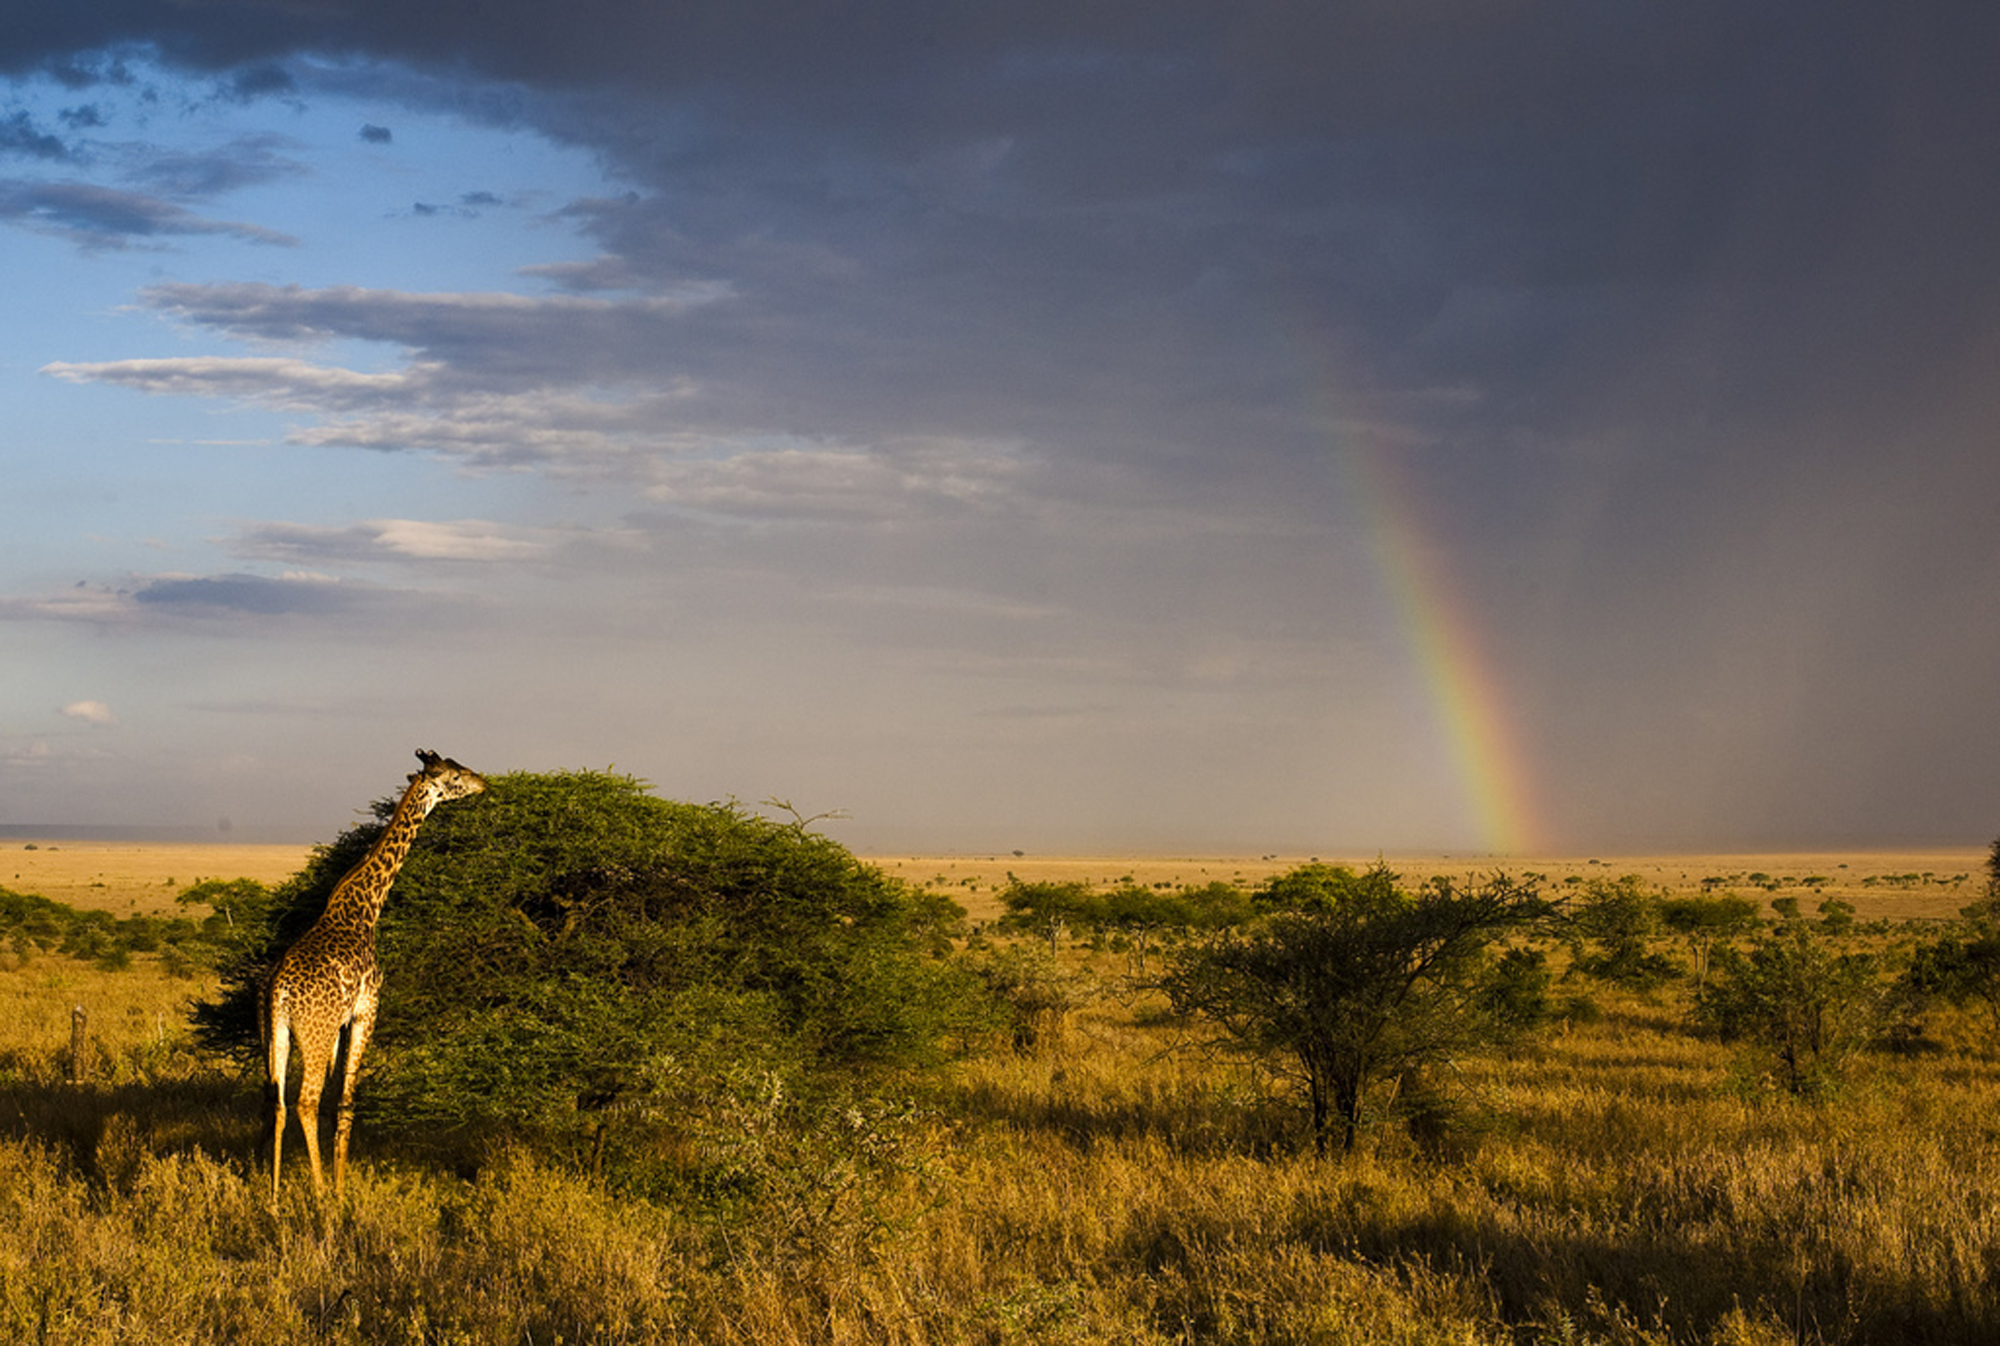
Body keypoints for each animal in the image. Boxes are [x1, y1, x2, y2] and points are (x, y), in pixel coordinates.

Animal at [262, 752, 488, 1200]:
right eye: (456, 775)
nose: (484, 783)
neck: (365, 909)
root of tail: (281, 992)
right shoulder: (366, 1011)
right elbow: (346, 1102)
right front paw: (340, 1191)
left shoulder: (342, 1024)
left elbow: (336, 1103)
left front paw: (336, 1183)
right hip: (313, 1032)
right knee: (305, 1101)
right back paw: (319, 1194)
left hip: (276, 1032)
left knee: (277, 1103)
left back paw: (275, 1198)